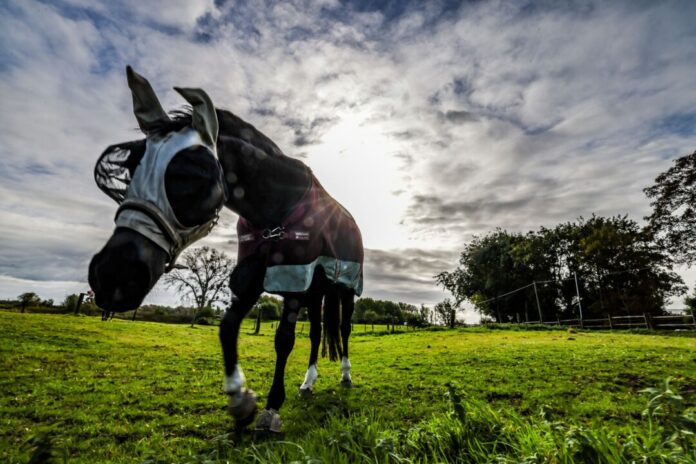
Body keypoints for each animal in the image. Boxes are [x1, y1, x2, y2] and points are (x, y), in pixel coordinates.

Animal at [87, 66, 364, 436]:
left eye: (194, 173)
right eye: (131, 169)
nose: (113, 276)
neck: (277, 207)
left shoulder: (292, 277)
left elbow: (284, 339)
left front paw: (271, 408)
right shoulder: (252, 277)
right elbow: (228, 327)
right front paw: (240, 399)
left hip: (344, 290)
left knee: (343, 330)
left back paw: (345, 376)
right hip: (316, 293)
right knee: (318, 334)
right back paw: (308, 382)